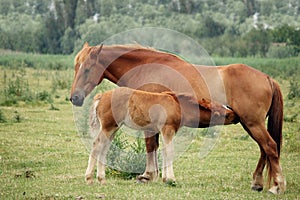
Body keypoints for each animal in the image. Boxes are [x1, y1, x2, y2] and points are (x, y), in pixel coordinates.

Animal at [70, 42, 286, 194]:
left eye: (87, 69)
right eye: (75, 68)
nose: (75, 98)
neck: (146, 67)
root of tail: (267, 78)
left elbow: (151, 146)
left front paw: (149, 175)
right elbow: (155, 146)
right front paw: (155, 175)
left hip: (253, 123)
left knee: (270, 147)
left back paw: (277, 186)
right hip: (250, 124)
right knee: (264, 149)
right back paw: (257, 183)